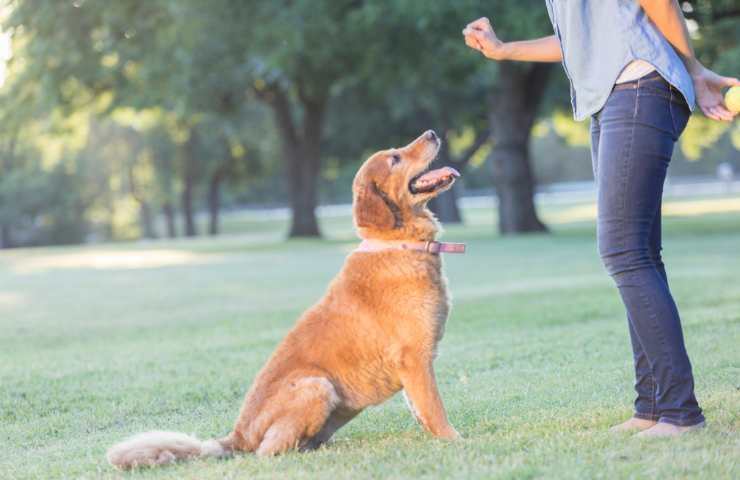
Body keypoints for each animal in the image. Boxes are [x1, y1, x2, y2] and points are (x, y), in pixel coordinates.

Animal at [107, 128, 466, 468]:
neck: (398, 243)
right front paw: (454, 441)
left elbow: (419, 409)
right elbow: (435, 409)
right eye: (394, 158)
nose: (433, 133)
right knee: (268, 451)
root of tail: (237, 436)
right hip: (316, 385)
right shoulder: (414, 359)